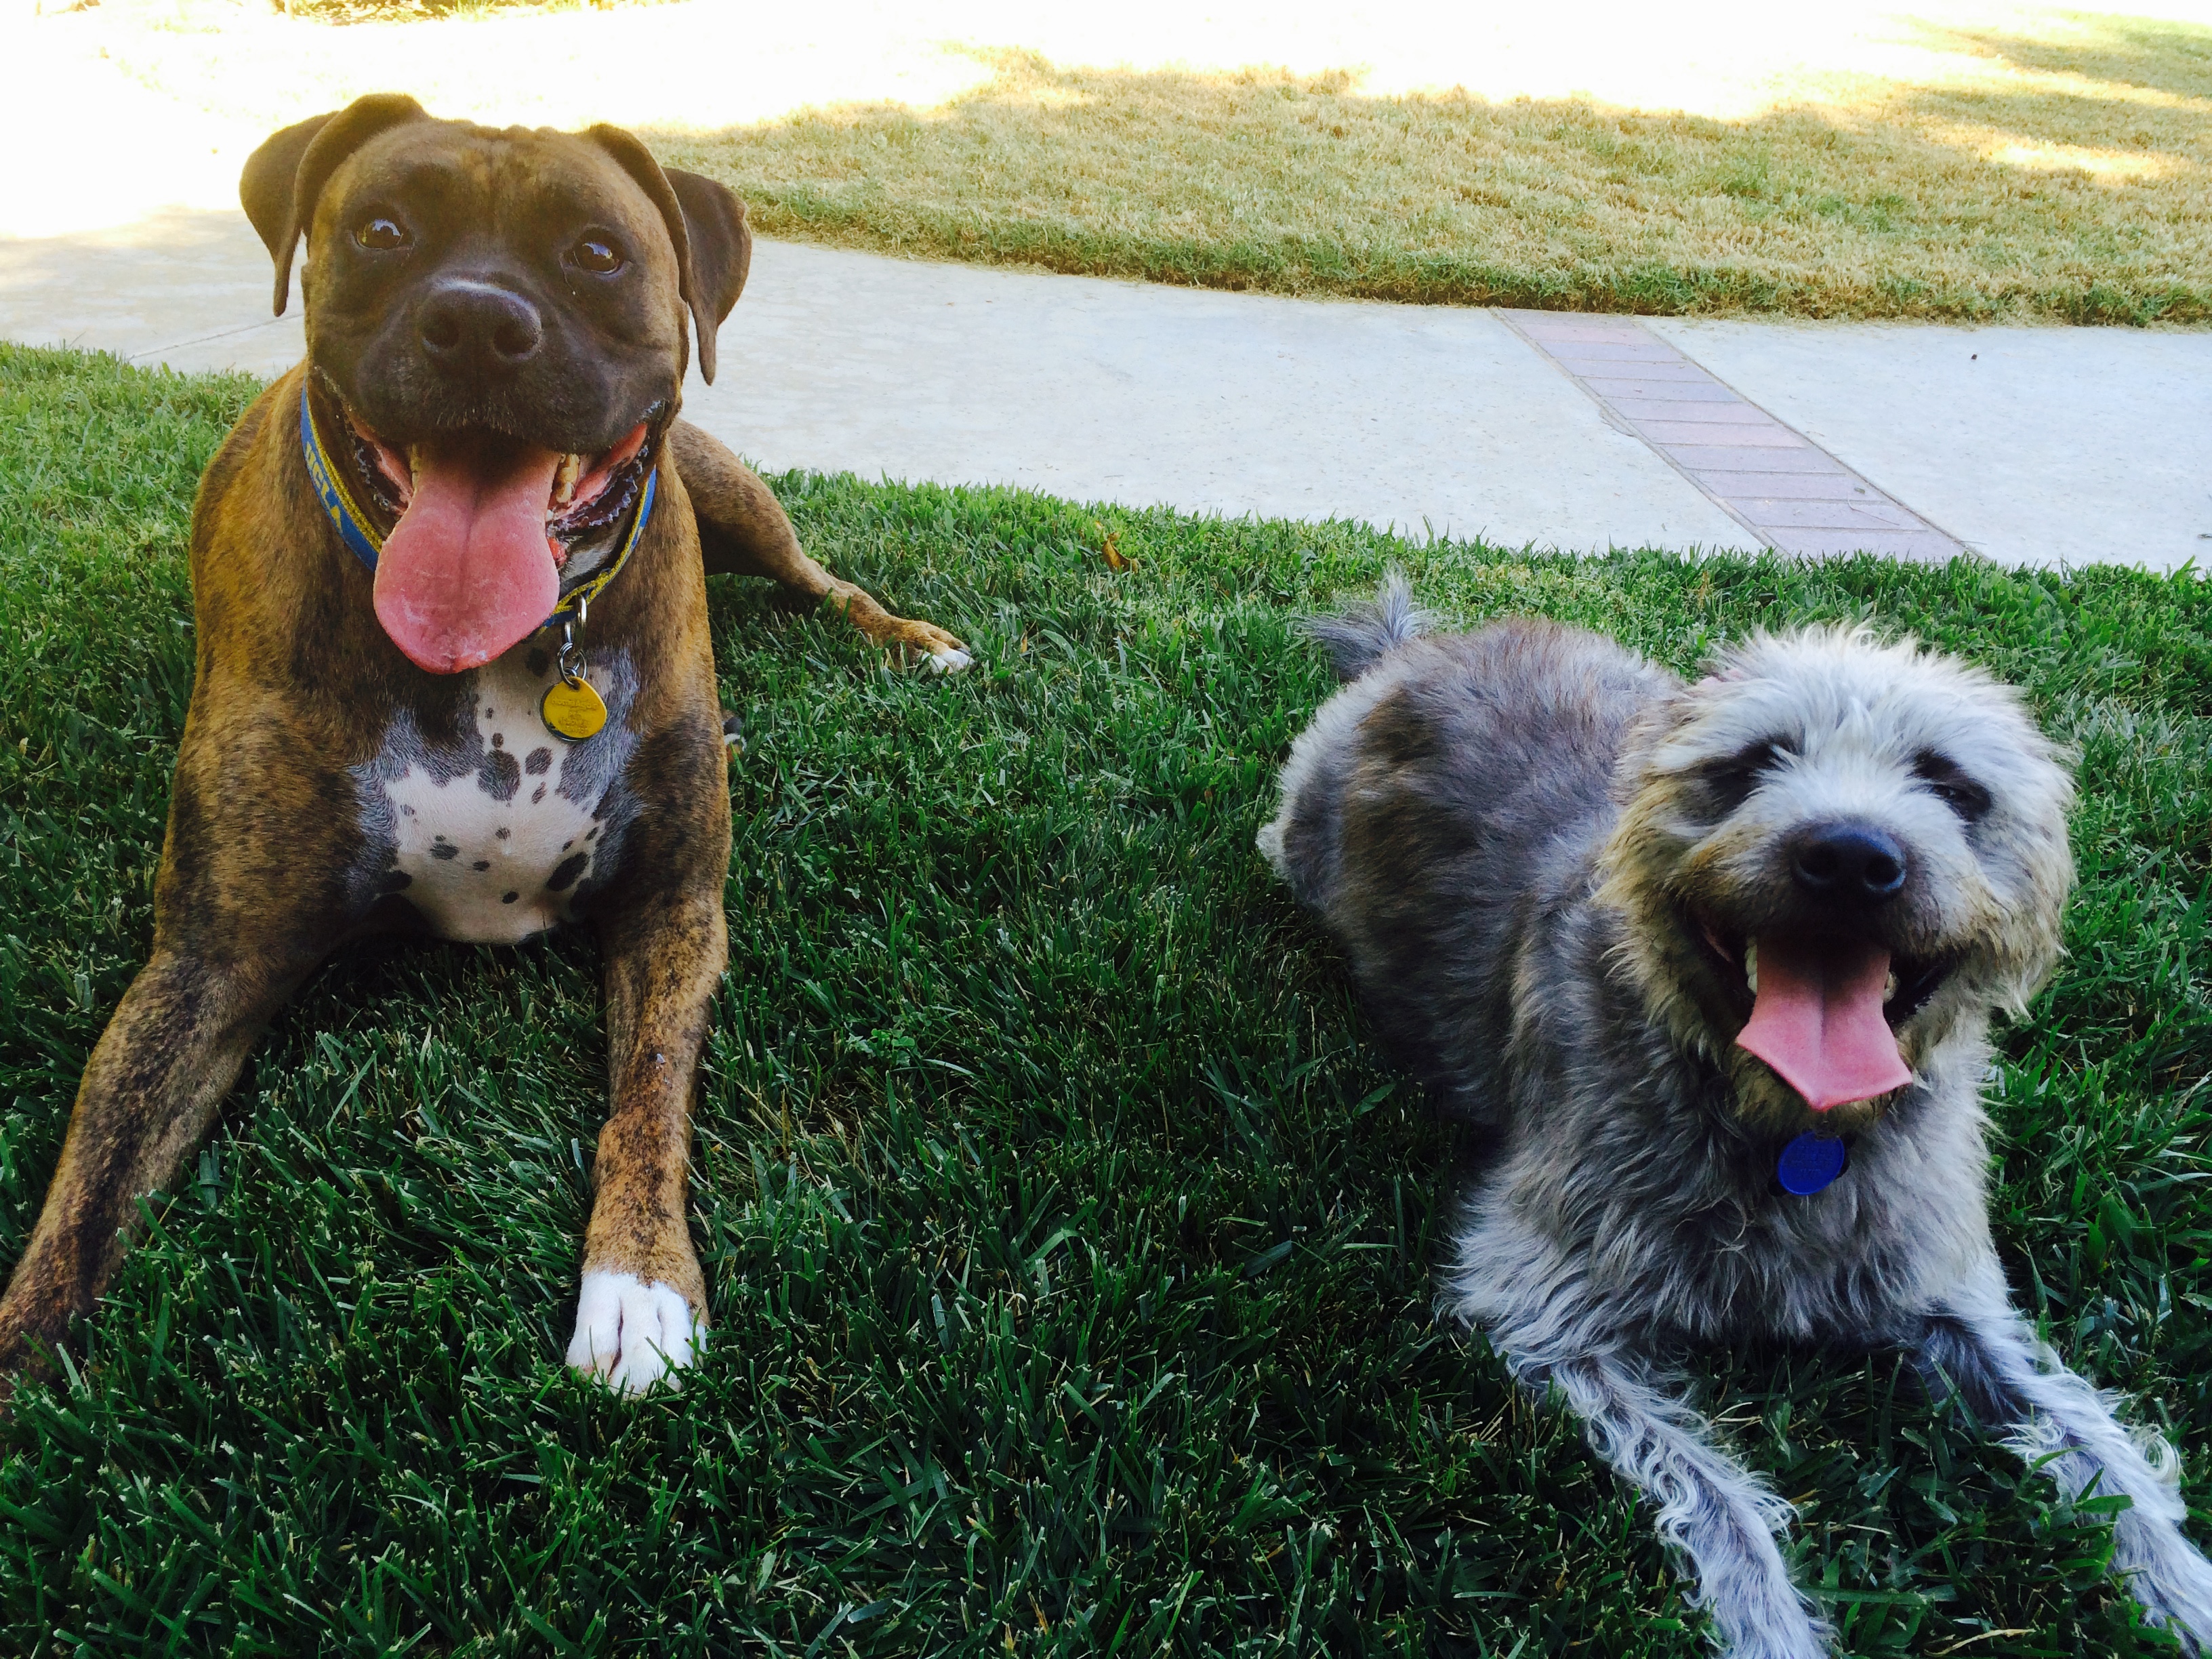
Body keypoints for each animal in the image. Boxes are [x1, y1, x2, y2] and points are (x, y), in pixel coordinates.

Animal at [0, 94, 968, 1406]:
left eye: (597, 253)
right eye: (381, 229)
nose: (475, 320)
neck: (513, 654)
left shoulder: (675, 908)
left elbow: (647, 1096)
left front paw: (637, 1284)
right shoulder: (207, 963)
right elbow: (90, 1191)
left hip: (734, 497)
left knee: (825, 580)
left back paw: (915, 643)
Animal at [1265, 579, 2212, 1654]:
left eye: (1952, 784)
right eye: (1757, 760)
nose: (1849, 858)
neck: (1791, 1131)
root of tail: (1417, 651)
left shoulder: (1946, 1293)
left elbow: (2092, 1437)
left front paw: (2182, 1587)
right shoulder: (1546, 1307)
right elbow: (1725, 1506)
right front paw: (1775, 1631)